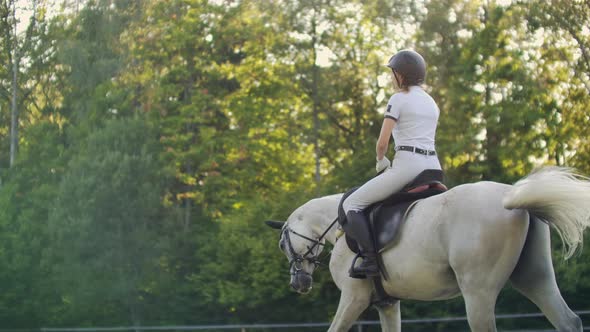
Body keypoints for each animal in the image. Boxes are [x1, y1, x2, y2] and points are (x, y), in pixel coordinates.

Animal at [268, 167, 590, 330]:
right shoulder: (387, 303)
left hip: (478, 291)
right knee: (568, 320)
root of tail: (511, 198)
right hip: (535, 279)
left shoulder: (353, 297)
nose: (298, 283)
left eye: (283, 244)